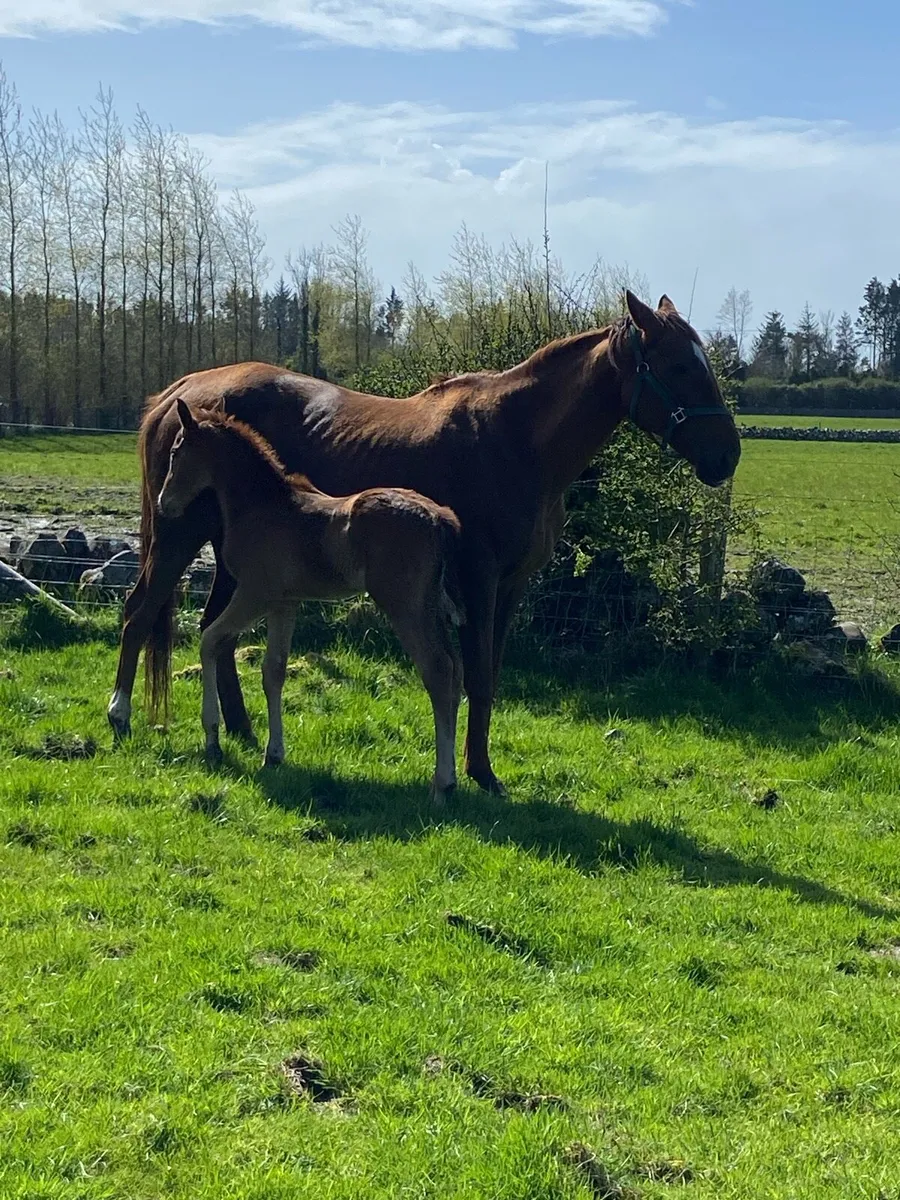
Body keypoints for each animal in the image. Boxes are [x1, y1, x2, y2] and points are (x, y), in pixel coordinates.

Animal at [157, 400, 465, 803]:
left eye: (177, 452)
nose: (164, 504)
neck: (263, 504)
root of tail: (439, 517)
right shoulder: (284, 603)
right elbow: (273, 671)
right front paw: (274, 754)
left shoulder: (255, 593)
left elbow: (209, 640)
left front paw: (212, 740)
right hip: (428, 606)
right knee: (455, 672)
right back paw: (452, 778)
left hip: (405, 608)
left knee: (438, 671)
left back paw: (441, 783)